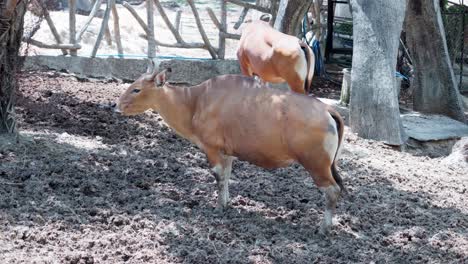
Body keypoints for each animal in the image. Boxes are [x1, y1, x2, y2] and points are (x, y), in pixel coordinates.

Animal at [117, 69, 344, 235]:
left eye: (136, 89)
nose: (116, 105)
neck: (195, 102)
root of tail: (327, 110)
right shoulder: (227, 153)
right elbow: (226, 177)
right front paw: (226, 203)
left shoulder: (212, 149)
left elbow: (218, 176)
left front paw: (218, 206)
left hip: (316, 165)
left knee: (333, 191)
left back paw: (324, 228)